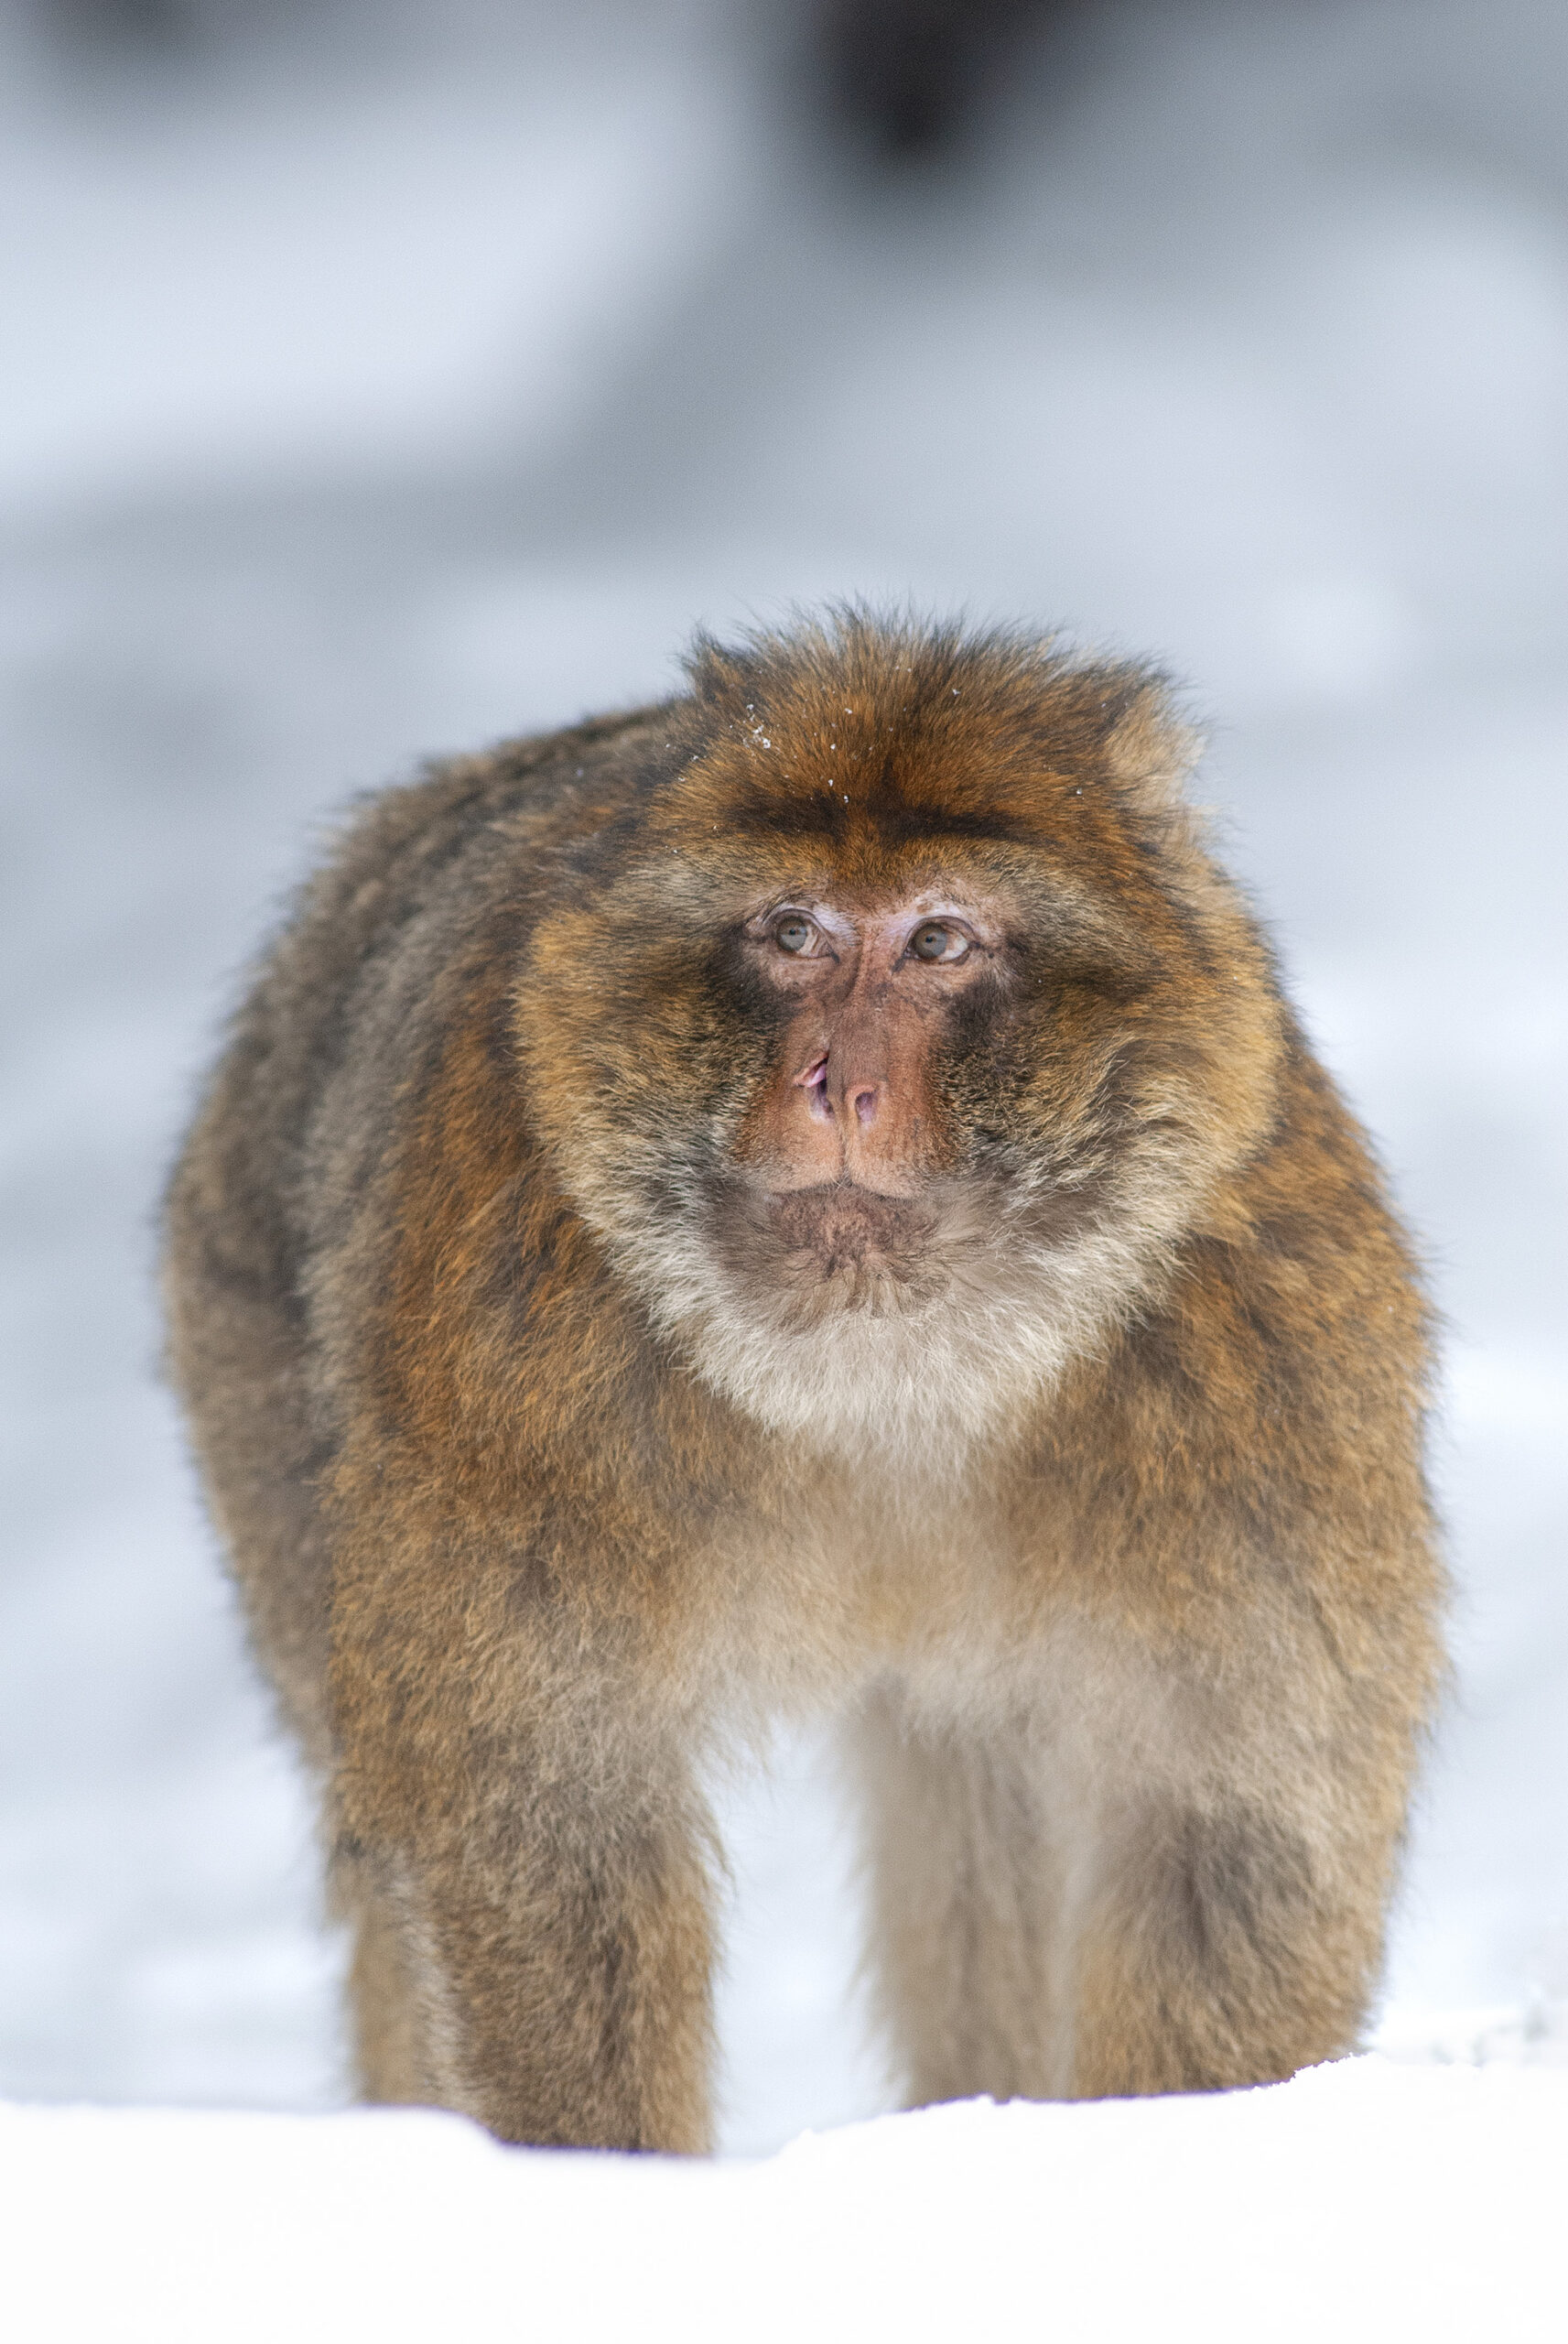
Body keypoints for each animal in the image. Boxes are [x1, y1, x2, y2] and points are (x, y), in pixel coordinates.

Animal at [164, 612, 1446, 2152]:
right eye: (794, 936)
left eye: (939, 942)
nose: (837, 1083)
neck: (886, 1380)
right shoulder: (509, 1357)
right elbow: (553, 1828)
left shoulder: (1256, 1361)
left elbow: (1226, 1826)